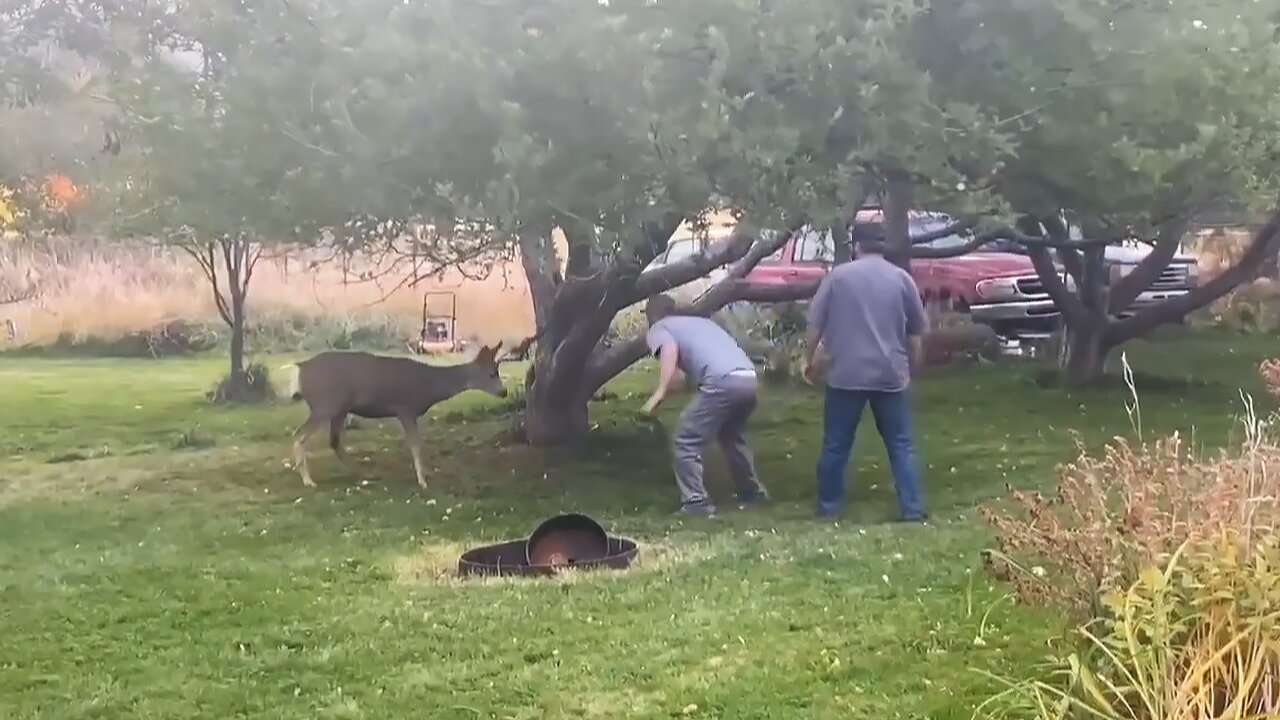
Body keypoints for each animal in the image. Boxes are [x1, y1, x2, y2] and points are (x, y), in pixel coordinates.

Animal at [284, 340, 509, 486]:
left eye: (497, 370)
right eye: (491, 373)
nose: (504, 392)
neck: (430, 386)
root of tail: (301, 367)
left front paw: (426, 473)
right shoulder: (405, 408)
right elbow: (415, 444)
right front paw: (422, 480)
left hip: (339, 408)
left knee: (334, 440)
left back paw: (364, 474)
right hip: (325, 404)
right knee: (300, 435)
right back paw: (308, 481)